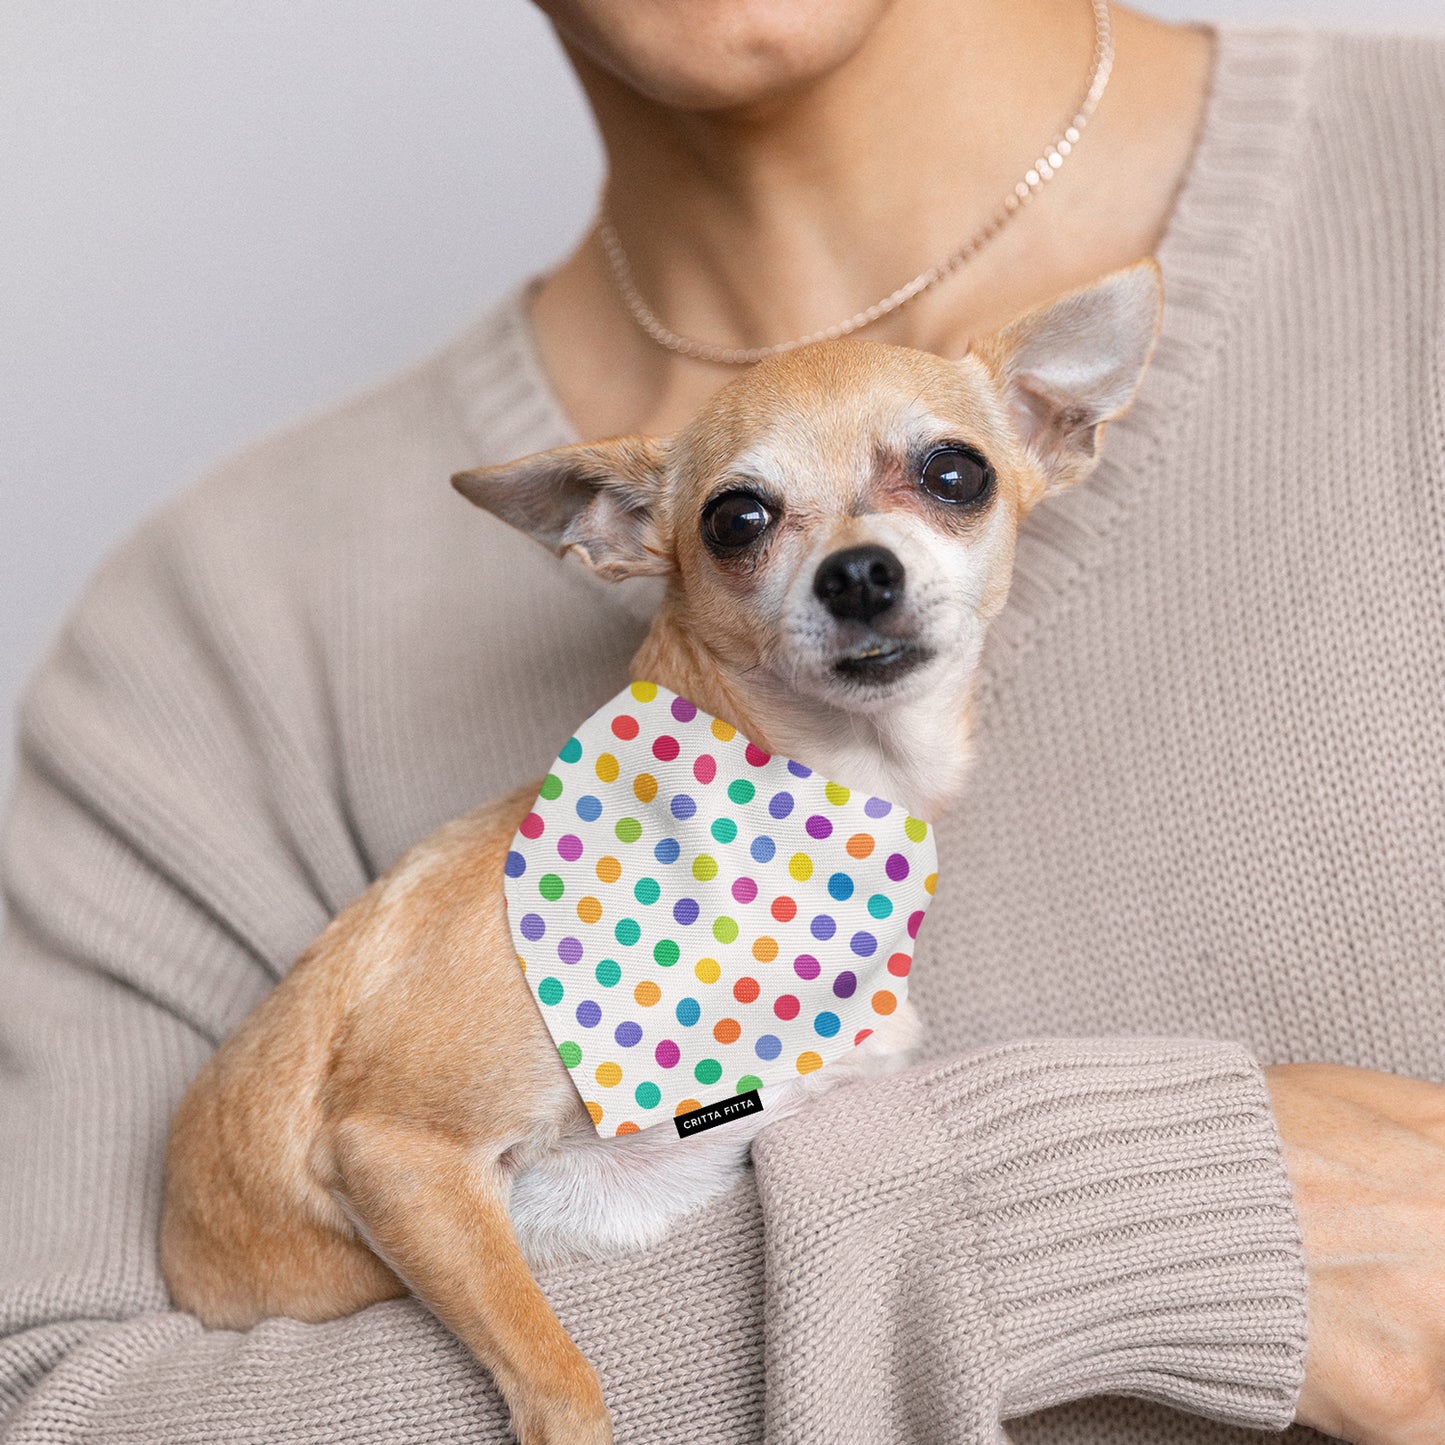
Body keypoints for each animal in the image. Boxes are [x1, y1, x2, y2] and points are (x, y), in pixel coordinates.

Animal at [161, 262, 1161, 1445]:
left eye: (954, 472)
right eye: (736, 518)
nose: (856, 573)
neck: (795, 811)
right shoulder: (396, 1151)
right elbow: (557, 1372)